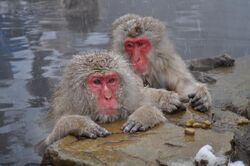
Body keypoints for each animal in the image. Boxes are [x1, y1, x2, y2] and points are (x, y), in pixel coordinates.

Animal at [41, 50, 170, 148]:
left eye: (111, 80)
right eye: (97, 82)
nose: (108, 97)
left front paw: (144, 115)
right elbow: (45, 143)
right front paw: (80, 124)